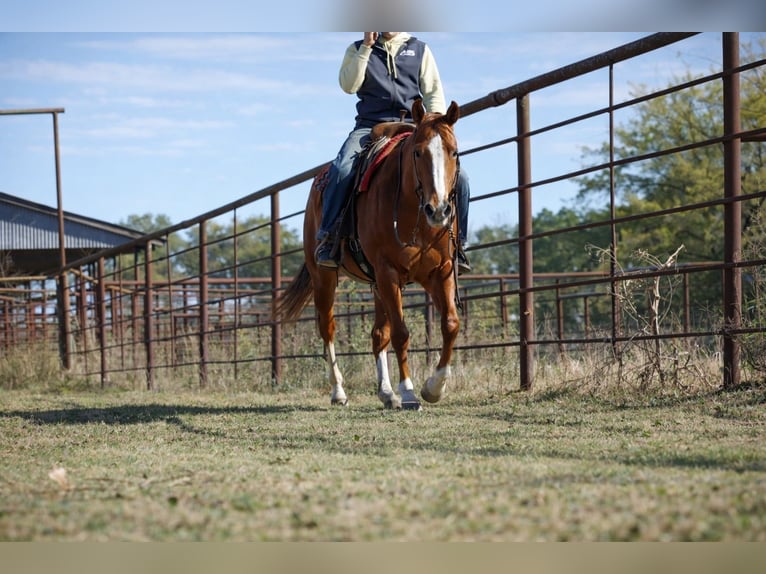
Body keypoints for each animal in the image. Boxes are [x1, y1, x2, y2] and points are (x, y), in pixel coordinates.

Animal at [273, 98, 462, 410]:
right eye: (418, 152)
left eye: (454, 152)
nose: (438, 210)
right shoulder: (388, 272)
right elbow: (401, 333)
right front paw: (409, 392)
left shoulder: (441, 271)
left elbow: (450, 324)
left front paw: (434, 388)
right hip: (325, 278)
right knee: (328, 328)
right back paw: (339, 391)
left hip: (377, 284)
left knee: (377, 334)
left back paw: (386, 393)